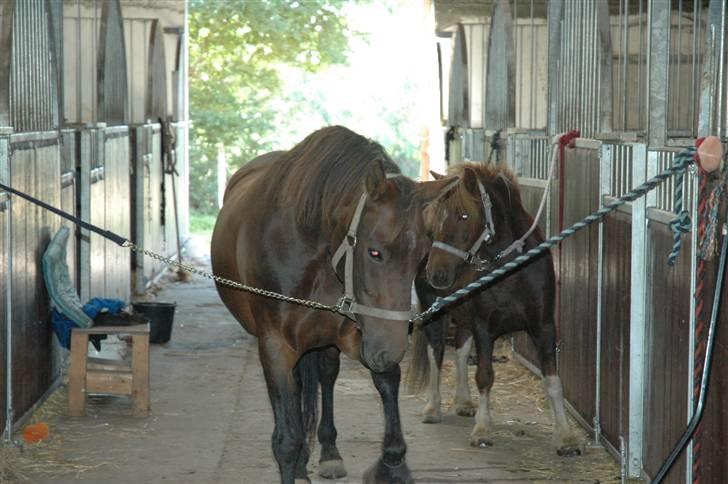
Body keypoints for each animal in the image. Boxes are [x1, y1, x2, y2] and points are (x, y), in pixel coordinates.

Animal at [210, 126, 458, 482]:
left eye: (421, 256)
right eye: (374, 251)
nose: (391, 348)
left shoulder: (358, 332)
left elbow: (385, 380)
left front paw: (392, 463)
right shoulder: (275, 346)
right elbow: (287, 439)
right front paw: (295, 459)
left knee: (325, 377)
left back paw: (328, 453)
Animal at [406, 164, 584, 458]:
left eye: (464, 215)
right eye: (437, 216)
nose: (436, 275)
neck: (511, 270)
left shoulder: (544, 326)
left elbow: (552, 380)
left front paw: (566, 438)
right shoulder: (484, 328)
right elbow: (485, 376)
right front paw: (482, 430)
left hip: (462, 316)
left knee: (461, 350)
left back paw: (463, 402)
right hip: (435, 315)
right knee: (436, 354)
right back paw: (432, 408)